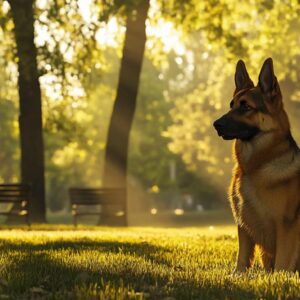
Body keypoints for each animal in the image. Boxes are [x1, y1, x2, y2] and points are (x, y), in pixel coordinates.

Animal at [213, 58, 300, 272]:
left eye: (246, 107)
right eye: (231, 105)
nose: (216, 125)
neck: (256, 167)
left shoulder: (286, 226)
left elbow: (283, 262)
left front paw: (280, 277)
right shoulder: (243, 225)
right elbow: (242, 257)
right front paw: (238, 275)